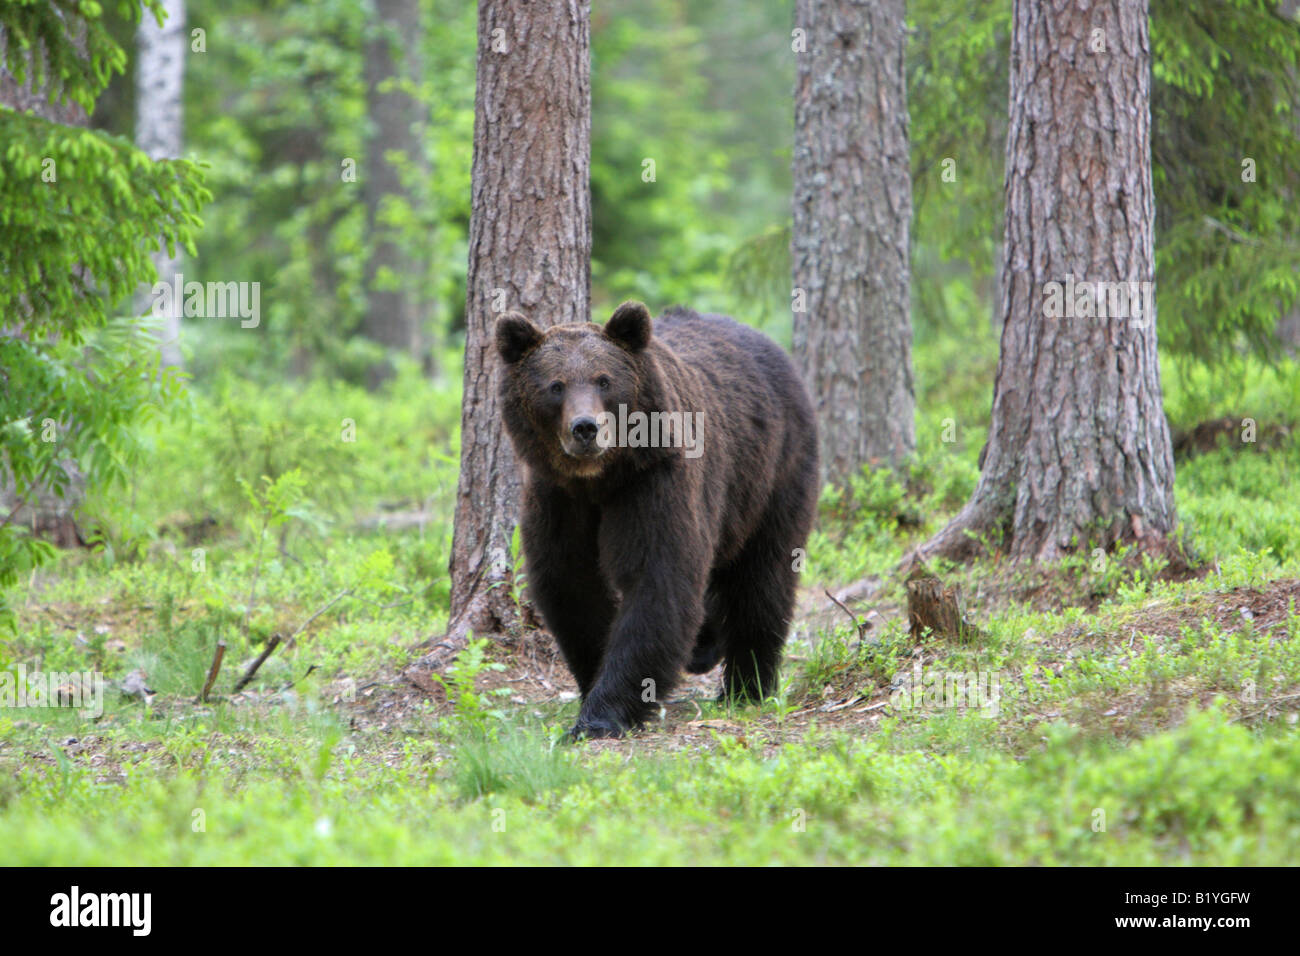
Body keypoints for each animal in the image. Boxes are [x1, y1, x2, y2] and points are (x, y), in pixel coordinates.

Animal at [495, 301, 819, 739]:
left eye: (604, 380)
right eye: (555, 385)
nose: (586, 428)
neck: (599, 481)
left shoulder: (654, 481)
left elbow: (657, 579)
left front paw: (602, 715)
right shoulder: (557, 498)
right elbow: (572, 583)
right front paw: (593, 684)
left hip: (771, 475)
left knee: (762, 578)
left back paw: (746, 686)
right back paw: (706, 647)